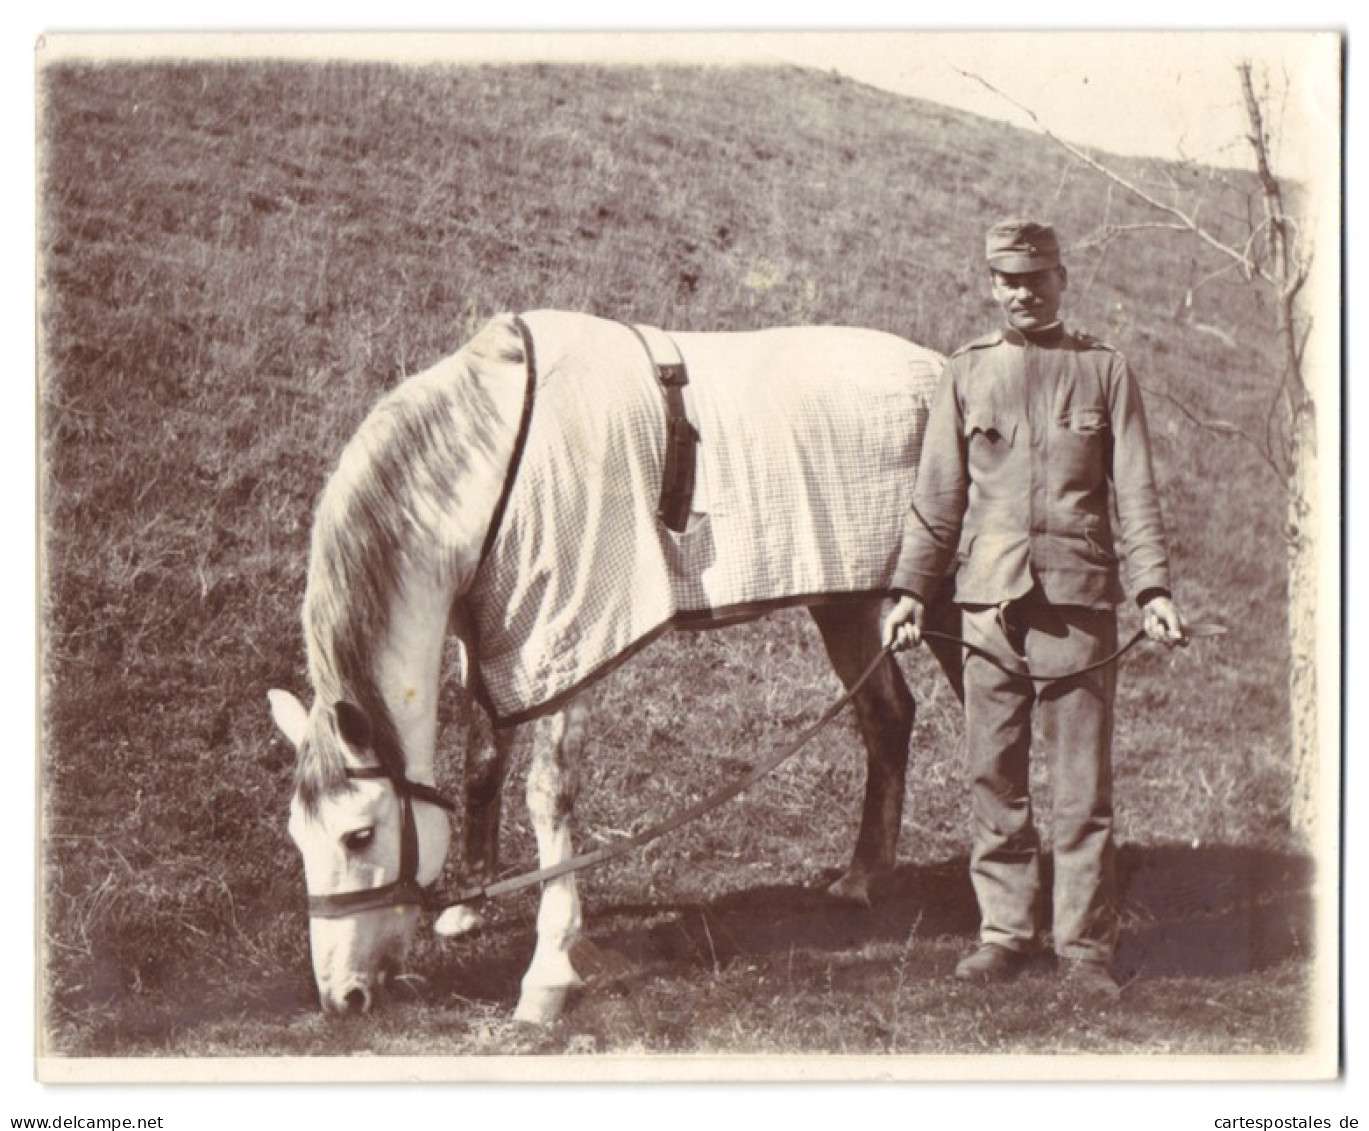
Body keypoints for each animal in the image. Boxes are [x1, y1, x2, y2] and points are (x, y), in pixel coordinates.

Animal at [266, 310, 952, 1024]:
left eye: (358, 836)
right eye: (297, 837)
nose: (341, 997)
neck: (491, 465)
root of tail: (941, 368)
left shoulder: (568, 639)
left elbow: (548, 793)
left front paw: (548, 972)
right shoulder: (492, 639)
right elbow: (482, 763)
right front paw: (468, 908)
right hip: (845, 603)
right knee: (887, 714)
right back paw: (861, 878)